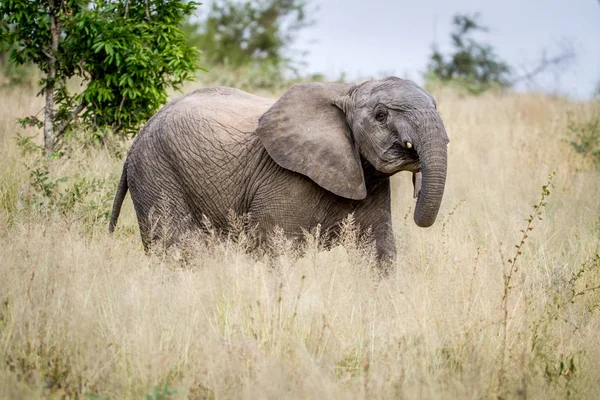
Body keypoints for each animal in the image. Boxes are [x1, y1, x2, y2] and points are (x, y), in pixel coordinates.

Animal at [109, 76, 450, 268]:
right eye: (381, 116)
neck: (346, 92)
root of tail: (140, 133)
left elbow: (378, 250)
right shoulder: (283, 178)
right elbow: (275, 248)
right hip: (156, 170)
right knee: (177, 248)